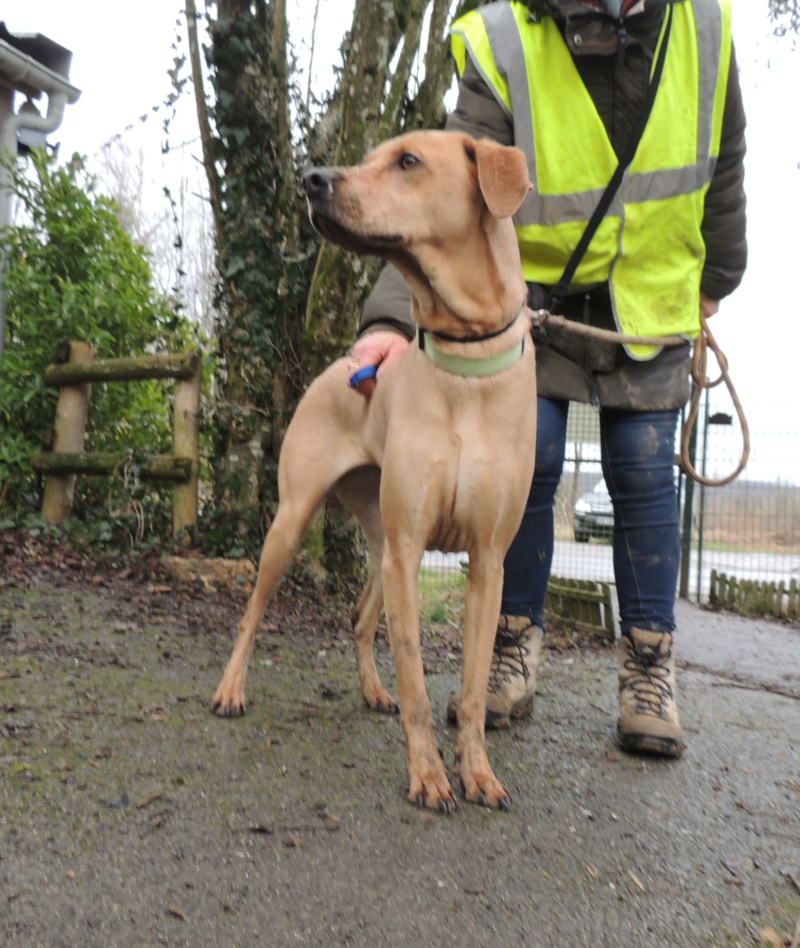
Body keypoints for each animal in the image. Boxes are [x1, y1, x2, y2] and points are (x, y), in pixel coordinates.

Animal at [212, 131, 536, 816]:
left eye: (408, 162)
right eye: (370, 157)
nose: (312, 179)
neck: (465, 361)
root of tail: (342, 366)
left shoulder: (487, 562)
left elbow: (471, 688)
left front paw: (478, 773)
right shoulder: (411, 549)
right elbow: (416, 678)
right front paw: (429, 776)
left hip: (384, 548)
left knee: (359, 620)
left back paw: (370, 690)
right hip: (297, 525)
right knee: (252, 613)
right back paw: (231, 689)